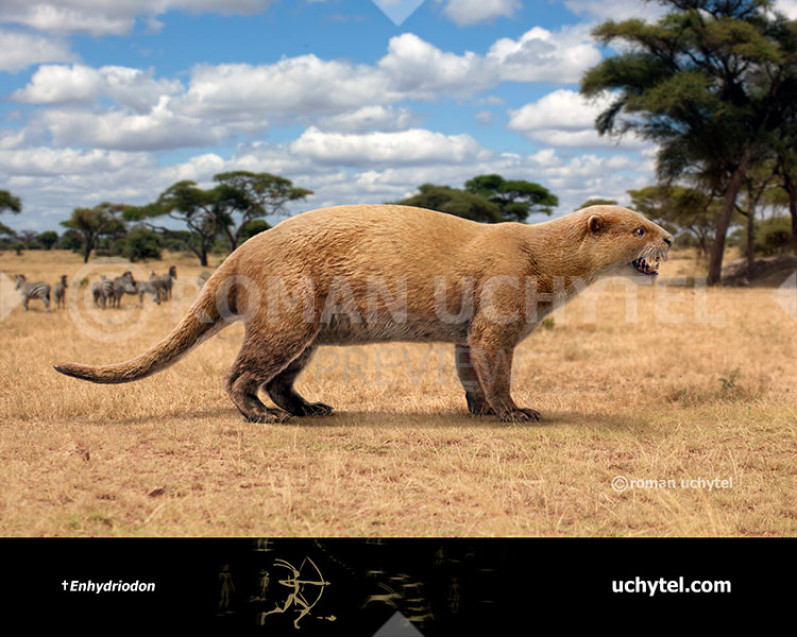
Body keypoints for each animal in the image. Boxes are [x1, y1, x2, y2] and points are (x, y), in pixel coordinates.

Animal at [54, 204, 673, 423]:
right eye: (640, 228)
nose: (671, 236)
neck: (543, 253)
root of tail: (239, 252)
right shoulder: (495, 326)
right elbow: (496, 377)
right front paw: (515, 412)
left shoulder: (466, 334)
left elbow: (470, 377)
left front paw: (479, 412)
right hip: (287, 323)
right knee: (239, 377)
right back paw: (263, 418)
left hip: (304, 337)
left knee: (278, 382)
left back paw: (310, 408)